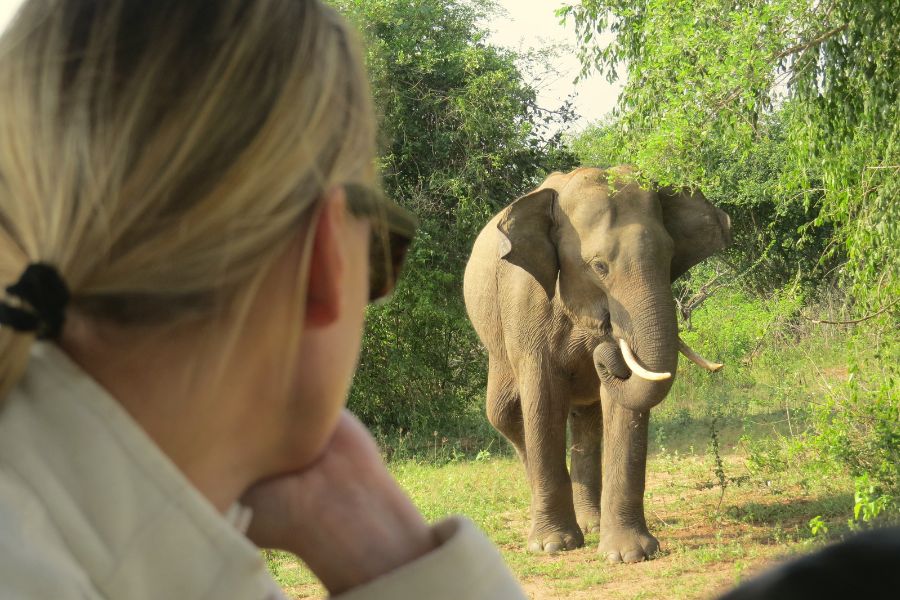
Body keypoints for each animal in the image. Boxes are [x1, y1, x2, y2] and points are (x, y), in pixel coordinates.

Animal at [463, 166, 731, 562]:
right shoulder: (525, 307)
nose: (605, 351)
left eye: (670, 256)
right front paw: (552, 546)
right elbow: (542, 397)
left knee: (586, 420)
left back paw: (591, 525)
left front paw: (629, 555)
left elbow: (622, 405)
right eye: (599, 266)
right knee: (505, 414)